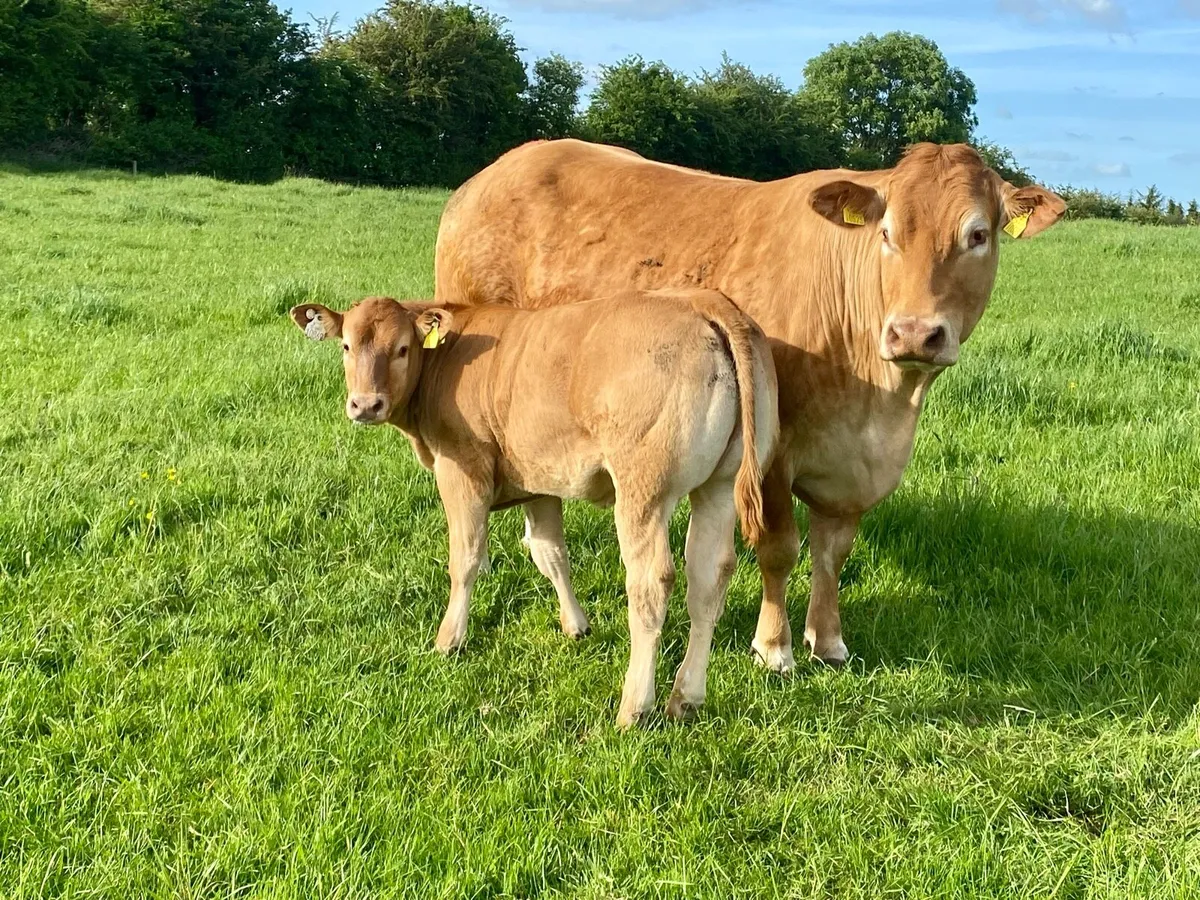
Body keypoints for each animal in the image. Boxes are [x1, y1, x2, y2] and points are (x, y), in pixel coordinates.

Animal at [291, 290, 778, 727]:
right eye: (347, 345)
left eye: (402, 348)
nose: (365, 404)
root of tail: (700, 302)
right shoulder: (541, 481)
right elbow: (550, 554)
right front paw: (575, 624)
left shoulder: (461, 471)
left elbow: (466, 560)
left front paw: (450, 638)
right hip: (717, 487)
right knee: (709, 578)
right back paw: (686, 697)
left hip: (644, 491)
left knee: (651, 584)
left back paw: (634, 707)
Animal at [434, 139, 1066, 672]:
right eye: (887, 233)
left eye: (978, 235)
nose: (914, 333)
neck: (880, 405)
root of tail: (495, 171)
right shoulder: (773, 456)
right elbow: (780, 549)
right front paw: (774, 646)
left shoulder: (851, 470)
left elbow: (832, 555)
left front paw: (828, 640)